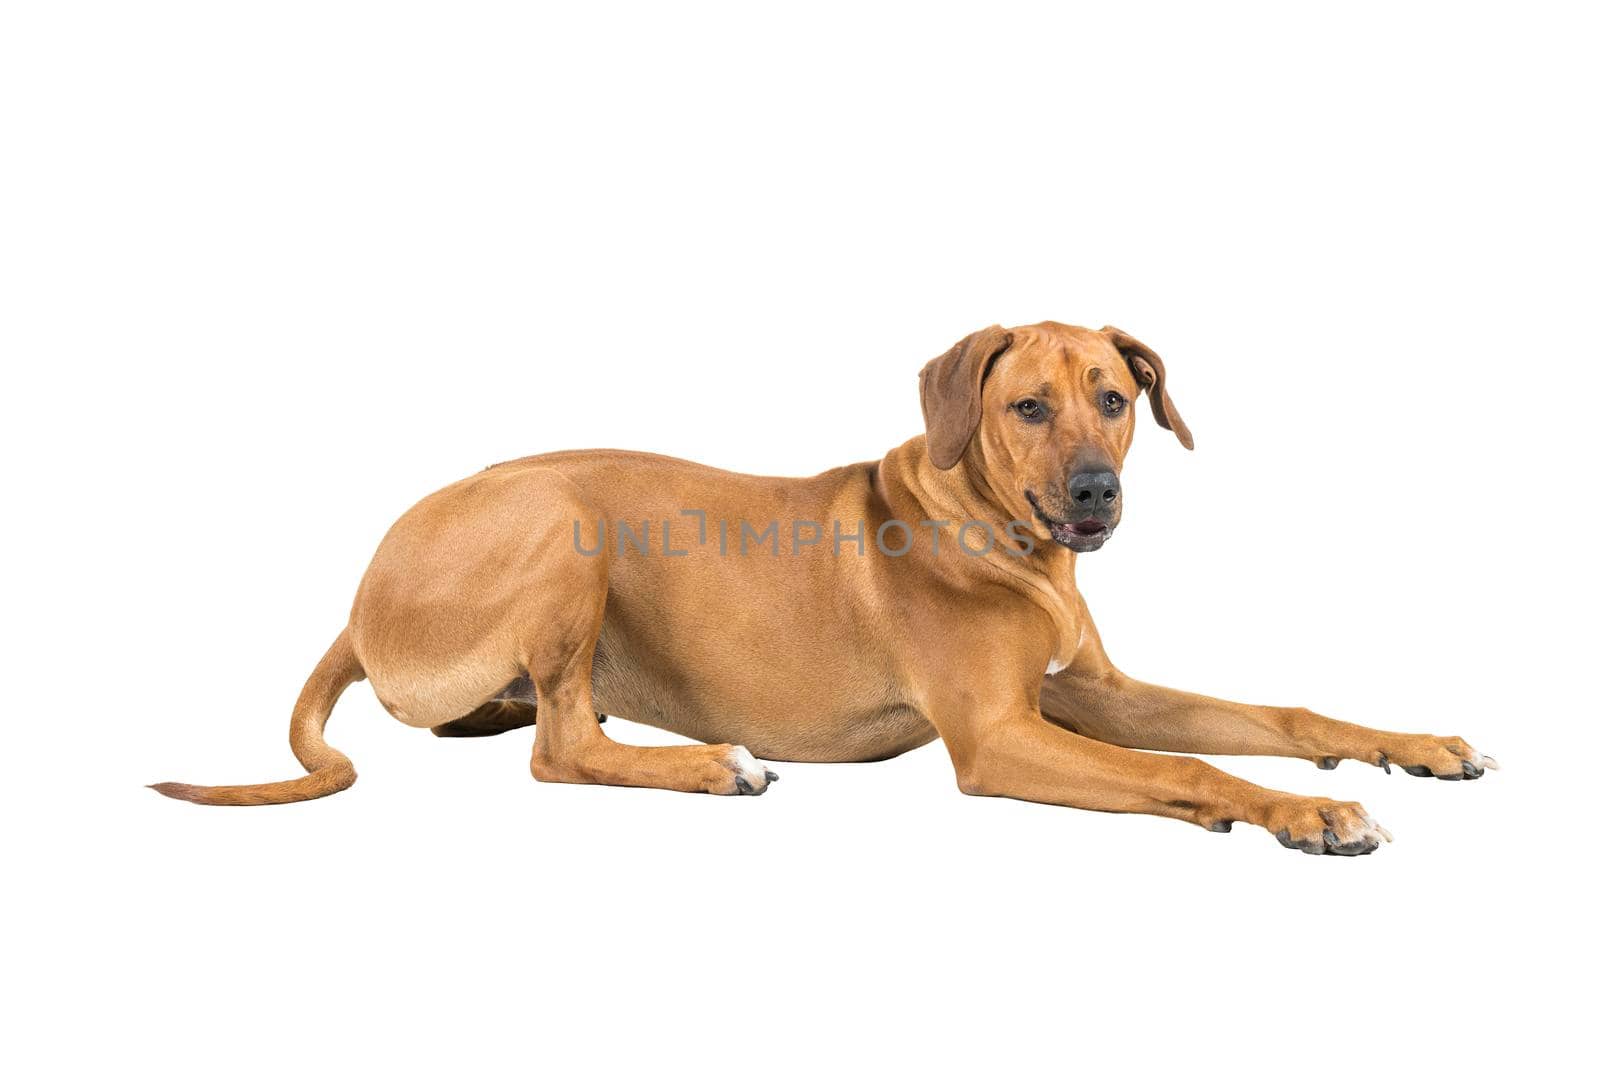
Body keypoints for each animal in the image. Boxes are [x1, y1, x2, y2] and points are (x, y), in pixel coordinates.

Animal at [152, 321, 1497, 857]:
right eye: (1027, 406)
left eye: (1116, 398)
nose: (1094, 496)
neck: (1004, 541)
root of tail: (359, 588)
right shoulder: (999, 737)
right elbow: (1199, 765)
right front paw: (1302, 811)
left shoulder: (1090, 692)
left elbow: (1278, 714)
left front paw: (1409, 745)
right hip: (563, 524)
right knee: (562, 746)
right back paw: (712, 763)